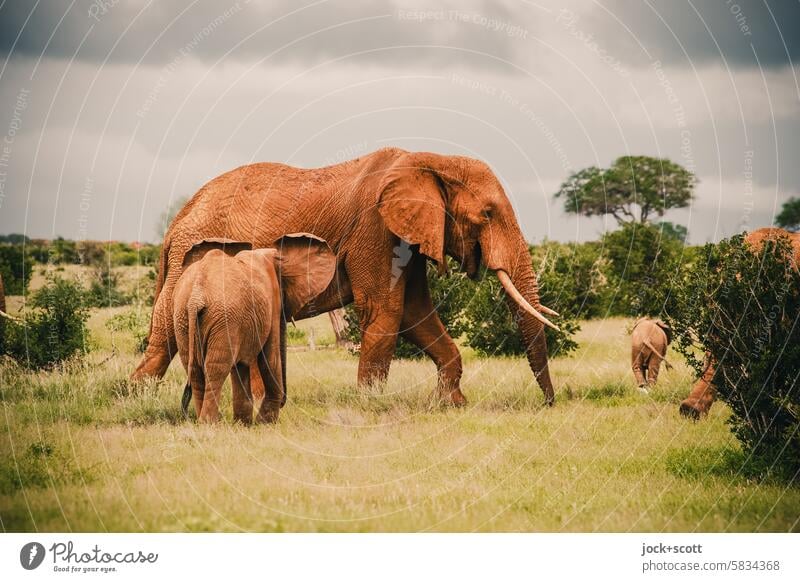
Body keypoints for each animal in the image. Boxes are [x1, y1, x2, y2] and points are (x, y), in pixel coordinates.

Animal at [133, 147, 556, 406]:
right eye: (486, 215)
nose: (549, 404)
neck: (428, 160)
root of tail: (176, 221)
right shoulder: (375, 229)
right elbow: (386, 310)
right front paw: (371, 403)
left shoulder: (407, 237)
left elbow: (415, 313)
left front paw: (452, 404)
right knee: (166, 333)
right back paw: (140, 398)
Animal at [173, 235, 336, 426]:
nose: (284, 402)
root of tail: (196, 295)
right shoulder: (271, 300)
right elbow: (269, 358)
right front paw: (265, 422)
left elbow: (241, 366)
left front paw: (243, 424)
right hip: (221, 317)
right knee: (216, 367)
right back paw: (210, 423)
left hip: (183, 318)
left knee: (194, 369)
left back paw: (203, 422)